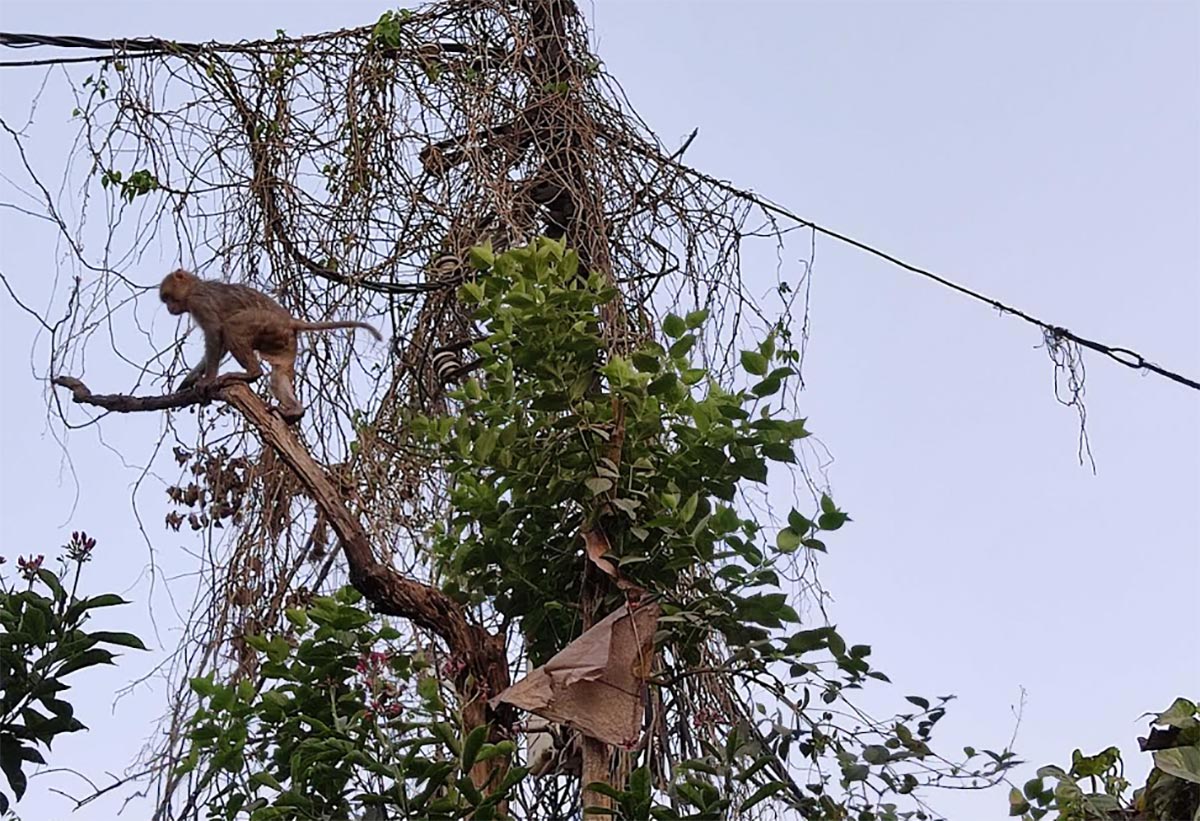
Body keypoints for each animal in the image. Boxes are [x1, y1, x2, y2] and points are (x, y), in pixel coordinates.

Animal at [160, 271, 379, 422]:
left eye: (169, 298)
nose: (169, 308)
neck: (194, 287)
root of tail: (289, 320)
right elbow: (220, 345)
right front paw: (190, 379)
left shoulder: (199, 303)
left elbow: (216, 334)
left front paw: (207, 380)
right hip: (284, 340)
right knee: (279, 372)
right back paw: (295, 411)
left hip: (267, 323)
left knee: (233, 327)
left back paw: (252, 373)